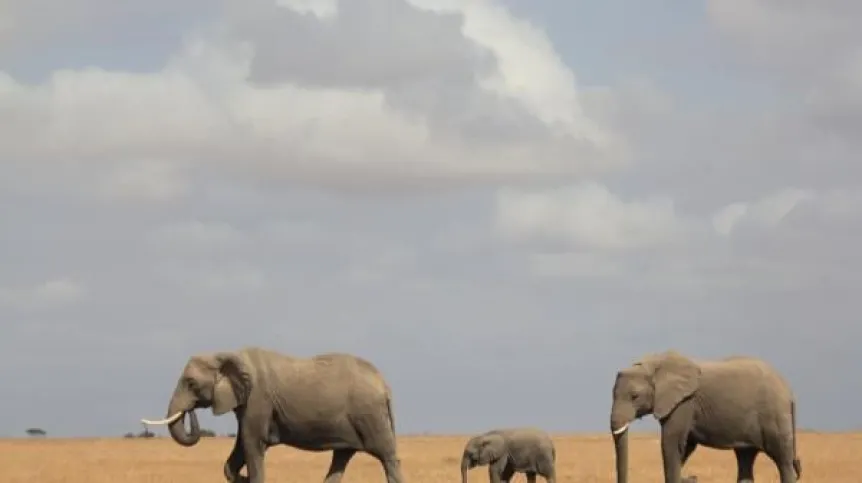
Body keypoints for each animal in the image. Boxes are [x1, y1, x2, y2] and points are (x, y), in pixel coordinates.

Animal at [142, 348, 408, 483]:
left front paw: (249, 476)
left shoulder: (257, 399)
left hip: (369, 414)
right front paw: (242, 477)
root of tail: (384, 385)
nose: (191, 410)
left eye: (191, 383)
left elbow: (252, 444)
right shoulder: (246, 404)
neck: (227, 354)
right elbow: (240, 448)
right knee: (341, 458)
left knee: (387, 457)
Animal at [608, 352, 804, 483]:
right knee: (746, 459)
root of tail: (790, 391)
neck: (655, 363)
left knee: (783, 461)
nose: (692, 476)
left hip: (775, 416)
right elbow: (685, 446)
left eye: (634, 396)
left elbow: (672, 443)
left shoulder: (685, 402)